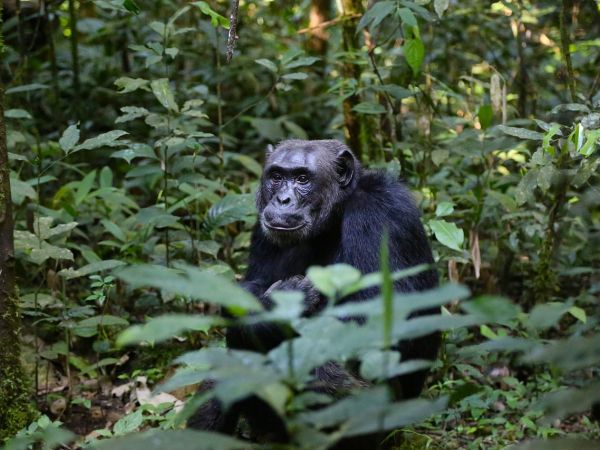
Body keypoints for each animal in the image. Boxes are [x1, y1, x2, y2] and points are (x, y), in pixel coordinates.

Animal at [190, 140, 438, 446]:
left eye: (302, 179)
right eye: (276, 176)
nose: (282, 199)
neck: (333, 218)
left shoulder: (381, 213)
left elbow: (382, 318)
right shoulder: (262, 229)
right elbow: (251, 287)